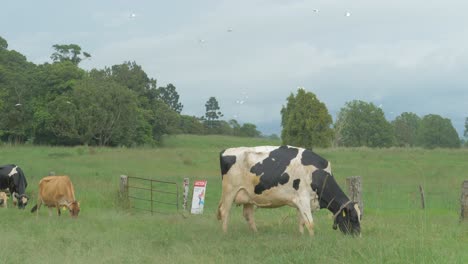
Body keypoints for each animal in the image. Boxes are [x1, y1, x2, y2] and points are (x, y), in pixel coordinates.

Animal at [217, 145, 362, 236]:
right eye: (353, 218)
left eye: (360, 217)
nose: (357, 236)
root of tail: (226, 150)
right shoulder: (303, 198)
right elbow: (310, 223)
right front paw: (312, 240)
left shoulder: (304, 202)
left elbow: (302, 221)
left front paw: (302, 236)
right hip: (229, 191)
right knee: (225, 212)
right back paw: (225, 234)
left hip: (248, 195)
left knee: (248, 215)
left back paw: (255, 233)